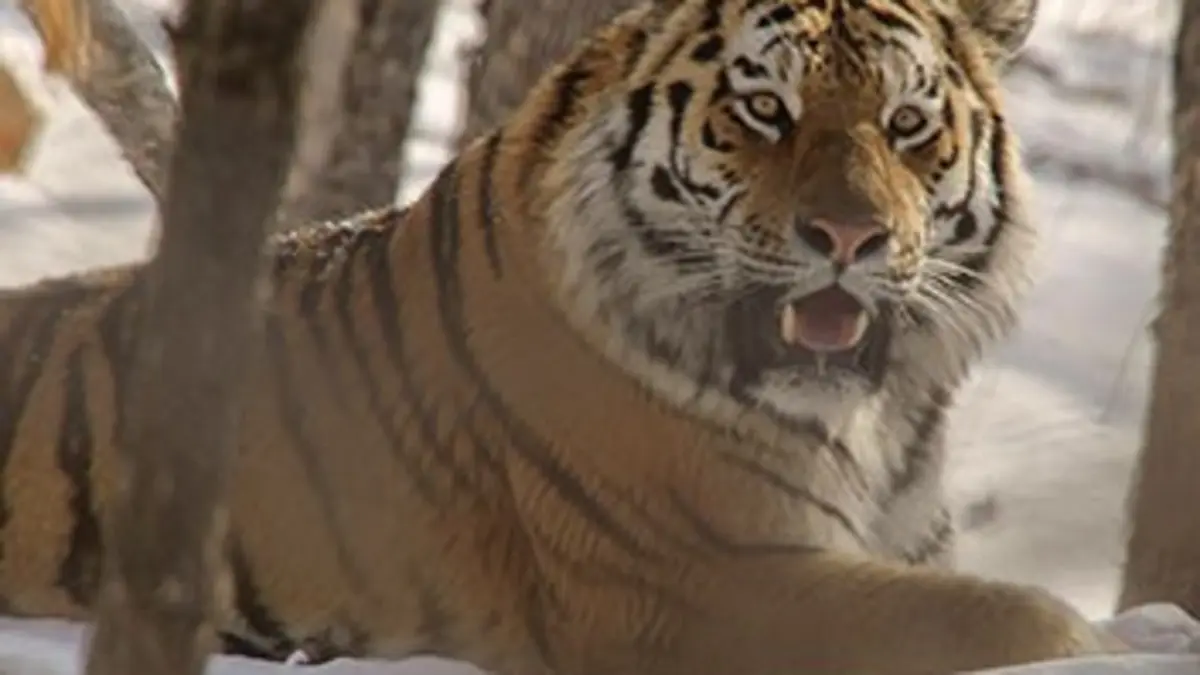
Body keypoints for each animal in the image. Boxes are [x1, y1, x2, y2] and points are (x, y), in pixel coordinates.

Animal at [0, 0, 1125, 673]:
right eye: (766, 110)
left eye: (905, 124)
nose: (850, 236)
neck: (876, 420)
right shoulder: (695, 581)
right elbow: (1012, 615)